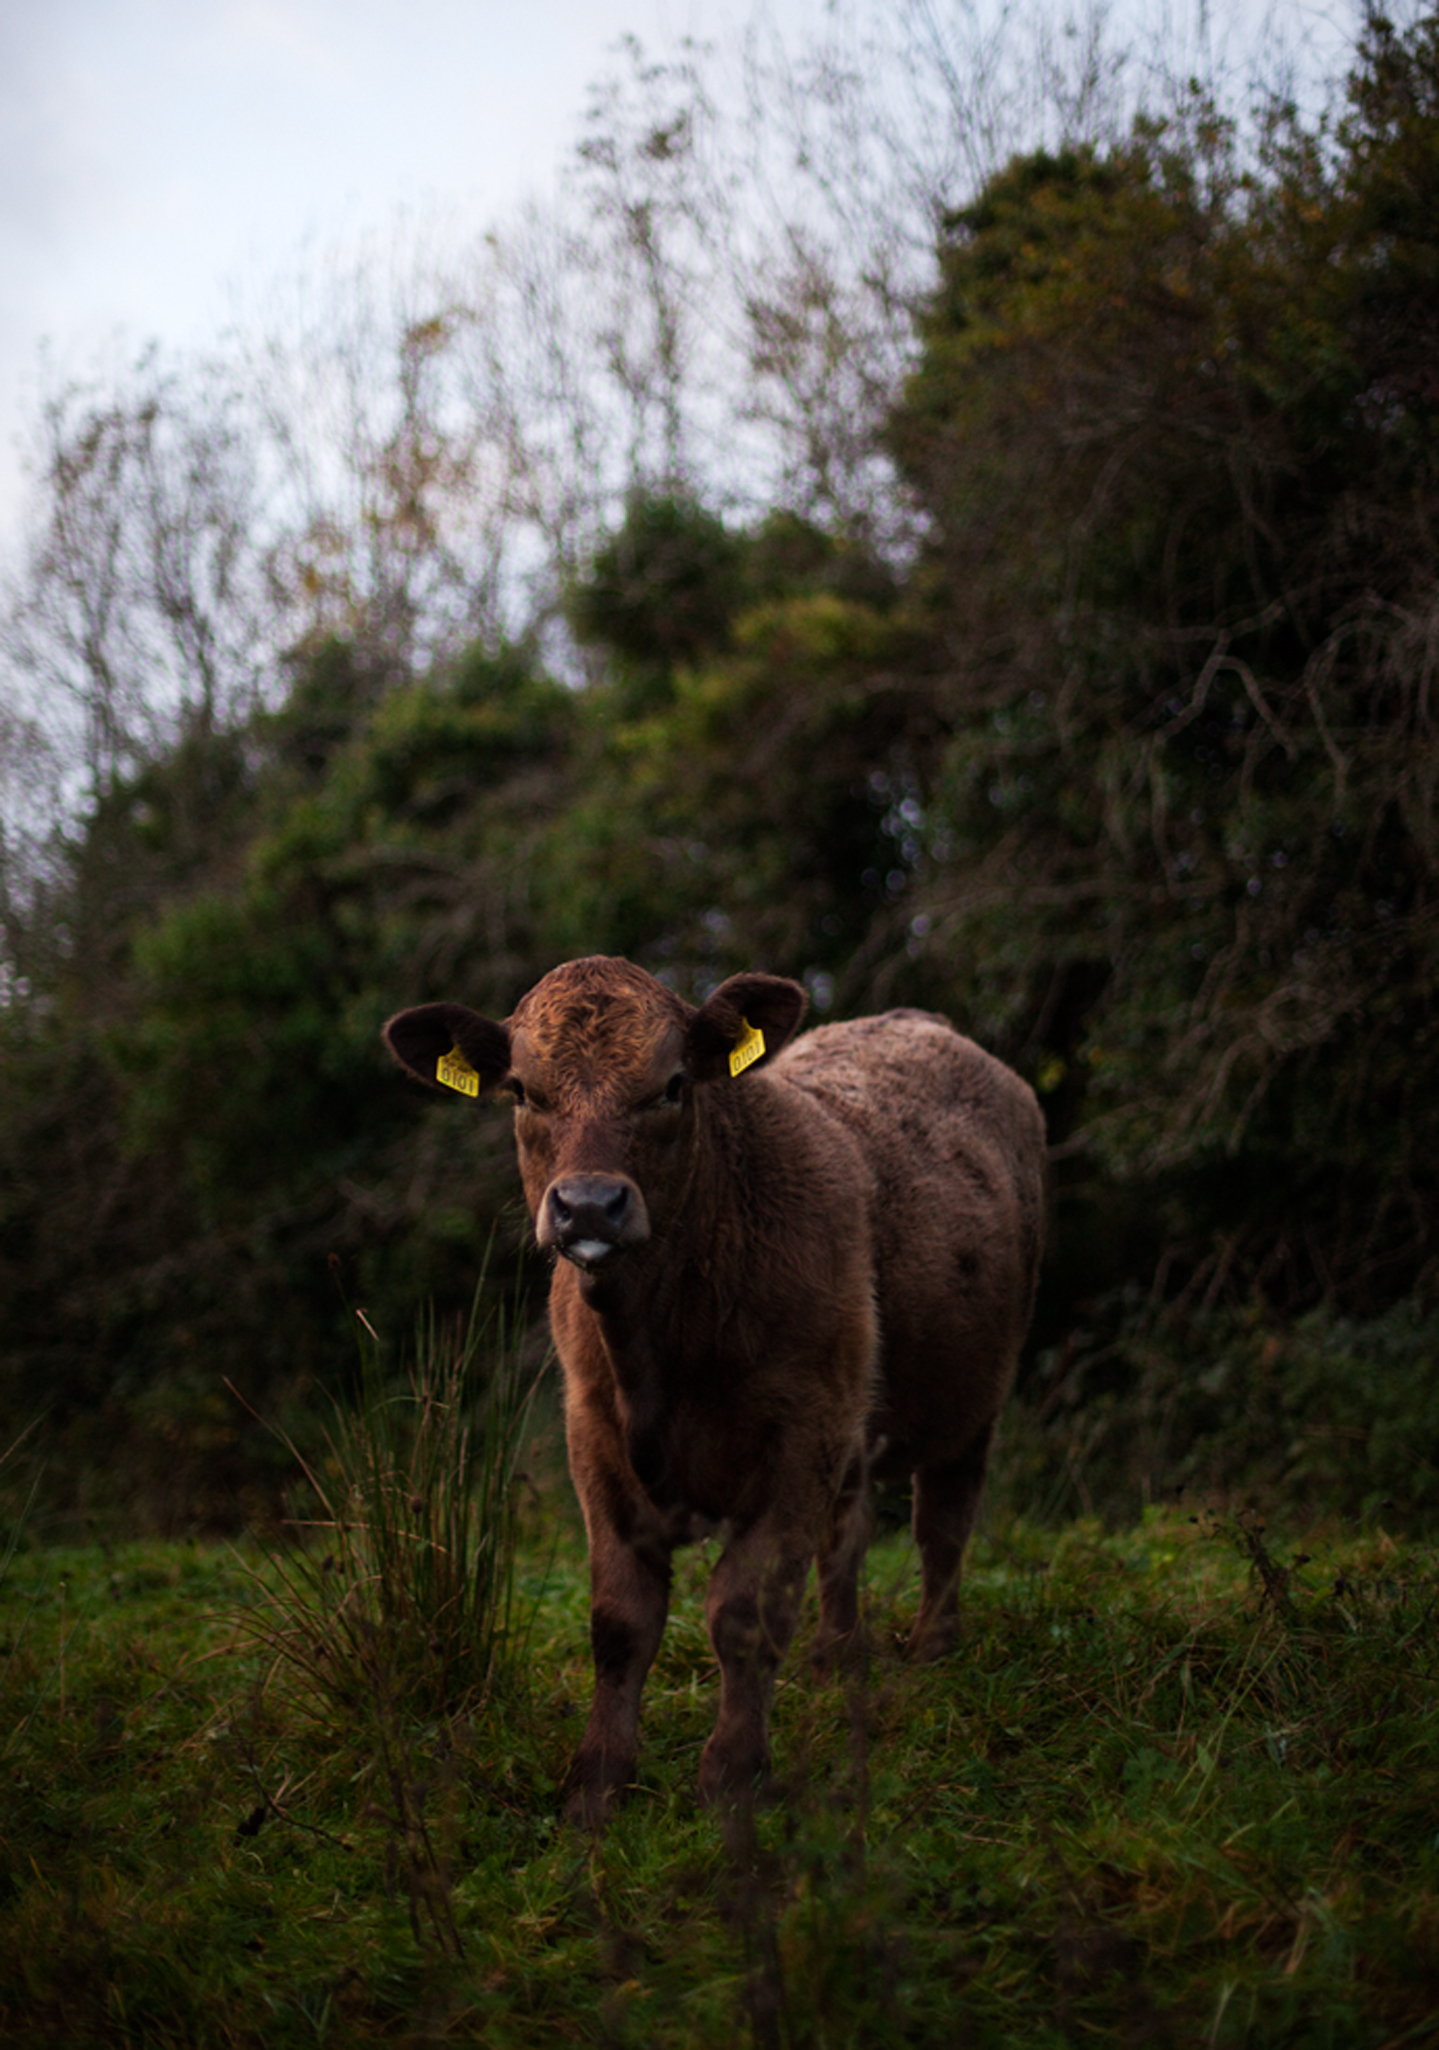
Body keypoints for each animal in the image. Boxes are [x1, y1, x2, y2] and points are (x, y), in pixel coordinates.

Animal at [383, 959, 1049, 1828]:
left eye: (670, 1085)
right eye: (523, 1091)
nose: (588, 1205)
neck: (659, 1346)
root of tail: (918, 1021)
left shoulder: (798, 1440)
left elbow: (743, 1612)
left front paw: (732, 1775)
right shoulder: (594, 1439)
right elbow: (619, 1620)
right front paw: (596, 1786)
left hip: (970, 1395)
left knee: (942, 1523)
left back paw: (932, 1651)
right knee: (848, 1536)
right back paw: (837, 1663)